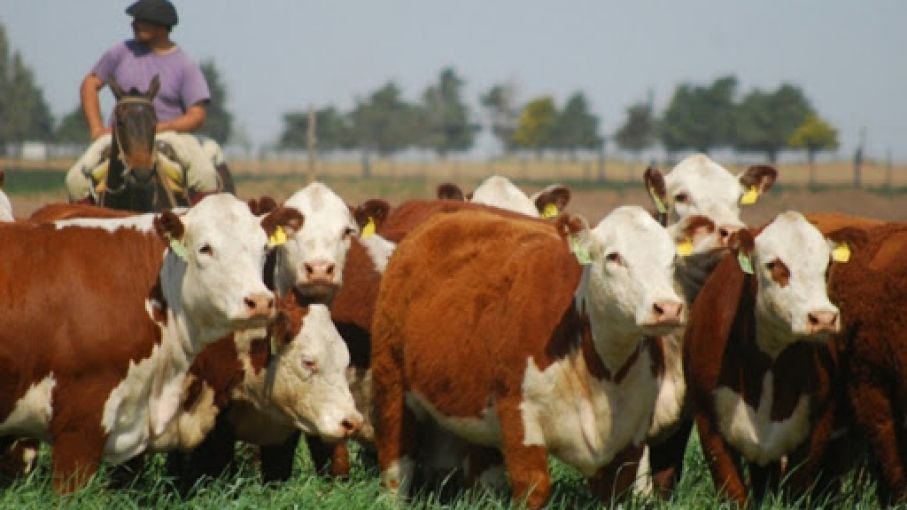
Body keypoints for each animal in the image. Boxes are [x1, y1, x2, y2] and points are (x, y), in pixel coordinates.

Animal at [372, 206, 684, 506]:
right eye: (613, 257)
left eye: (672, 260)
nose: (668, 307)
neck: (602, 371)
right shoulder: (521, 417)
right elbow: (533, 486)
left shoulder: (632, 435)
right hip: (391, 385)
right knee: (396, 466)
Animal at [684, 209, 856, 504]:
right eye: (774, 264)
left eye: (828, 265)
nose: (823, 318)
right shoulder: (708, 420)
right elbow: (732, 490)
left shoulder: (820, 422)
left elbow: (796, 487)